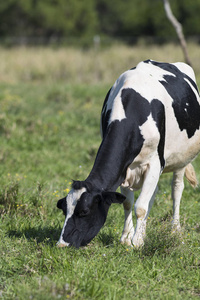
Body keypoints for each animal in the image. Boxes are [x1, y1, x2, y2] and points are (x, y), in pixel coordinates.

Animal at [56, 59, 200, 248]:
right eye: (65, 210)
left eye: (84, 211)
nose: (61, 244)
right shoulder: (125, 167)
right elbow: (128, 202)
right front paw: (127, 238)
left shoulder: (155, 163)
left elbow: (140, 207)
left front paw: (137, 242)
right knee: (152, 194)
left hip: (181, 159)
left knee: (176, 190)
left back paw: (175, 229)